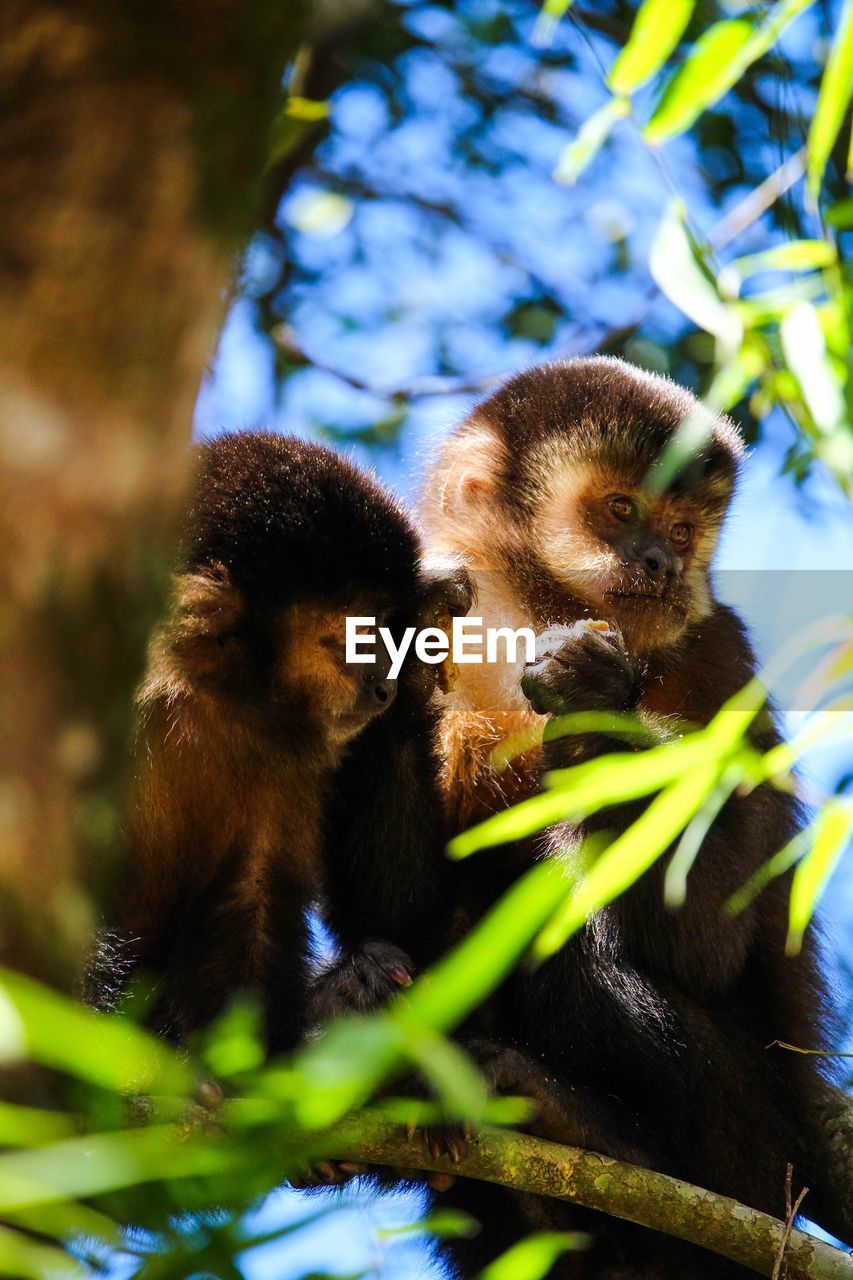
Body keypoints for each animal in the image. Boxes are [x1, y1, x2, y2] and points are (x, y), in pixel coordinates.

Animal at [412, 360, 845, 1280]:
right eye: (619, 509)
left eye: (682, 529)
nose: (660, 560)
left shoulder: (716, 657)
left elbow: (704, 940)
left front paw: (590, 700)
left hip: (748, 1155)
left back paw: (588, 1129)